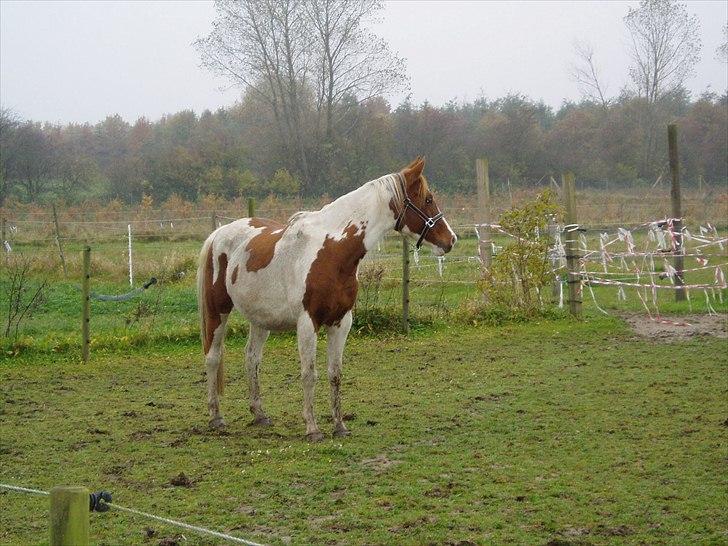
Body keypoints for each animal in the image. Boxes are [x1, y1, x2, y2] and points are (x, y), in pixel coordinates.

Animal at [195, 155, 456, 440]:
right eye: (428, 199)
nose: (450, 240)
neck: (332, 250)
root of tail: (217, 234)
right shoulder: (308, 323)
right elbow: (309, 374)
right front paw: (312, 428)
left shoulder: (341, 322)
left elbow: (335, 374)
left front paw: (339, 426)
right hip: (217, 311)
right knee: (213, 357)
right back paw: (216, 417)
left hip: (261, 319)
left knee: (252, 359)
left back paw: (259, 414)